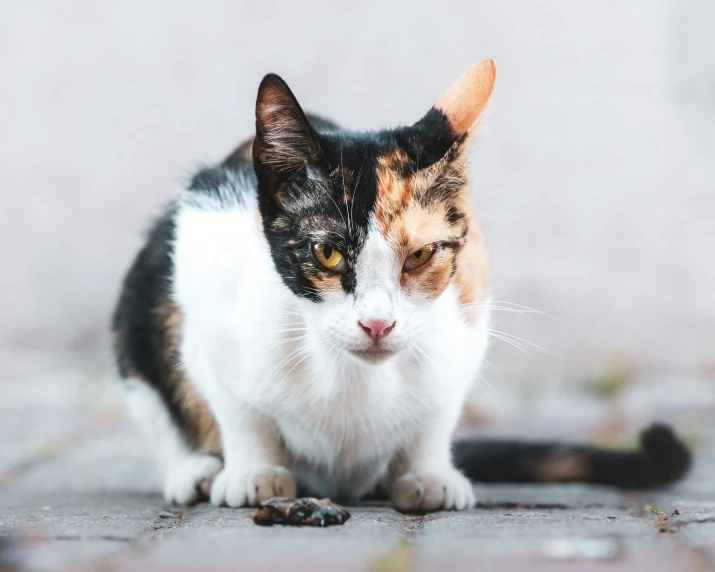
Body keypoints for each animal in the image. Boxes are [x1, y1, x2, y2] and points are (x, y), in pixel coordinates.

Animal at [113, 60, 692, 512]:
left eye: (419, 255)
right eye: (327, 253)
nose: (377, 323)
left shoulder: (471, 309)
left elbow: (438, 411)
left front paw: (427, 472)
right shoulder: (204, 259)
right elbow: (237, 405)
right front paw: (253, 469)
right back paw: (195, 471)